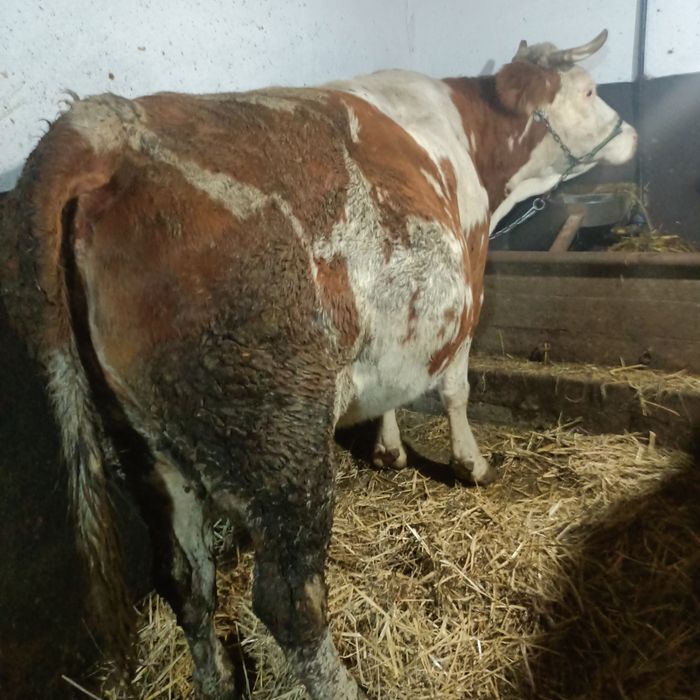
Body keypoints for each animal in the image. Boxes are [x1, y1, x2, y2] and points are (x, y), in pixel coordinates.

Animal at [0, 31, 635, 700]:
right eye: (589, 90)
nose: (632, 134)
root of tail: (101, 126)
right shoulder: (471, 277)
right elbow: (455, 387)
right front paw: (472, 465)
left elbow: (394, 390)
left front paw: (389, 451)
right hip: (279, 435)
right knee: (290, 605)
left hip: (142, 448)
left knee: (186, 581)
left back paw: (215, 681)